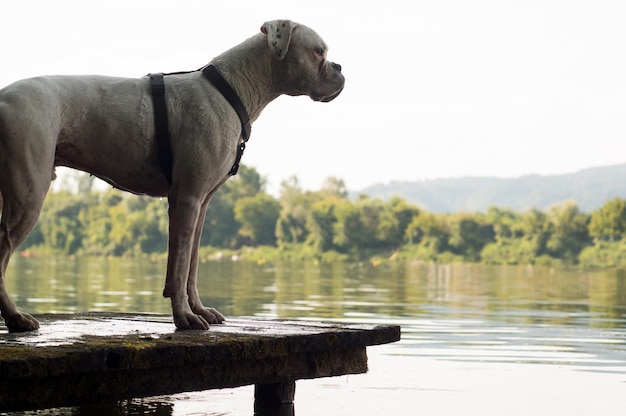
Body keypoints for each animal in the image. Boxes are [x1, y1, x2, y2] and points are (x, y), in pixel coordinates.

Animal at [0, 18, 342, 332]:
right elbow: (177, 269)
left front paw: (199, 310)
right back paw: (16, 317)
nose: (339, 67)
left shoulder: (200, 206)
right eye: (318, 51)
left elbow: (191, 266)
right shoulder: (186, 200)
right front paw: (184, 318)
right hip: (28, 196)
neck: (234, 88)